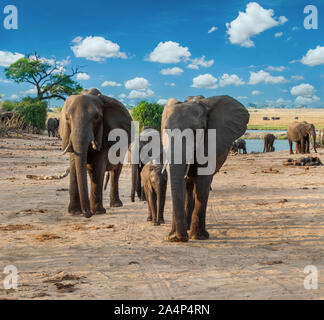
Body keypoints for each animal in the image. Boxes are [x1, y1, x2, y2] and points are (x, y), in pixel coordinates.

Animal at [59, 87, 132, 218]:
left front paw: (98, 212)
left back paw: (116, 205)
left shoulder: (104, 133)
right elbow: (74, 165)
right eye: (67, 118)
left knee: (116, 172)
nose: (87, 214)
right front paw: (74, 212)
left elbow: (98, 165)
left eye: (97, 117)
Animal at [161, 95, 249, 242]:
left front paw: (199, 237)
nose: (178, 238)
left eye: (196, 131)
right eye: (166, 131)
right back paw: (187, 227)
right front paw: (175, 237)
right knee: (189, 186)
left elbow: (203, 180)